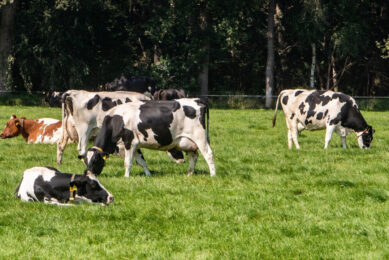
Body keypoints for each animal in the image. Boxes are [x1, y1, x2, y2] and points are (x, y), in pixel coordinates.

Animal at [56, 90, 185, 165]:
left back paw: (59, 162)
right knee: (82, 147)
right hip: (84, 128)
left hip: (66, 128)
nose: (182, 160)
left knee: (60, 144)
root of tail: (71, 92)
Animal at [82, 98, 215, 178]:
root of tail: (197, 100)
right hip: (187, 141)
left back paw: (213, 174)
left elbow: (127, 162)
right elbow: (142, 162)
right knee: (194, 156)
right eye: (85, 161)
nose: (87, 174)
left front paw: (126, 177)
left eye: (95, 160)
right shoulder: (136, 145)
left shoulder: (129, 142)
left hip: (200, 137)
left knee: (208, 154)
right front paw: (148, 175)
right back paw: (189, 174)